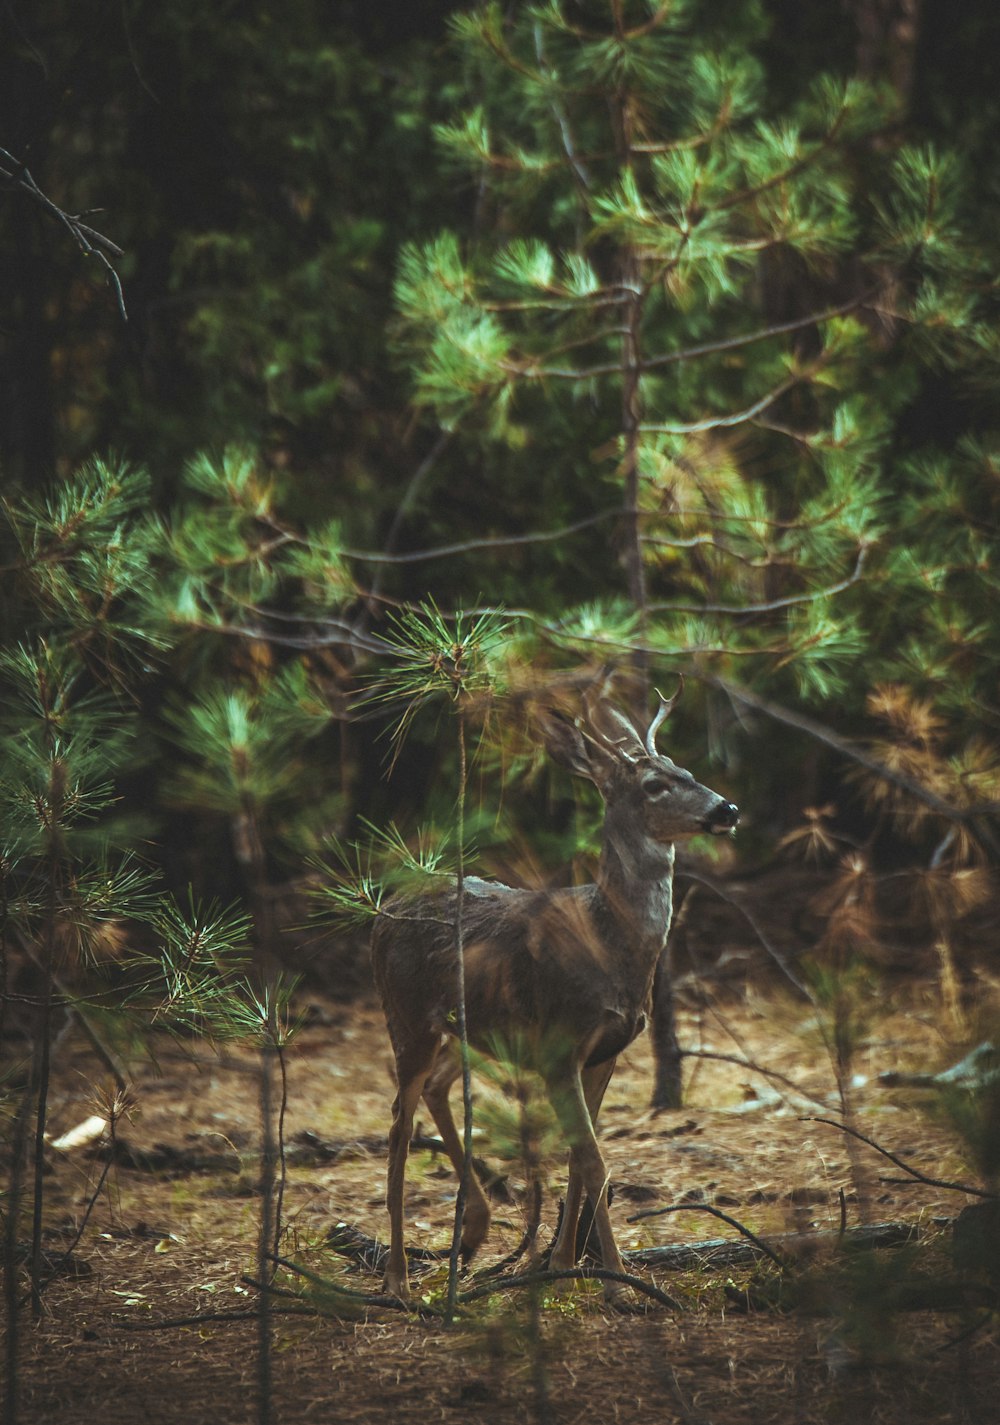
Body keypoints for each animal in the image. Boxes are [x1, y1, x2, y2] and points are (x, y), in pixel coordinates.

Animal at [373, 684, 740, 1305]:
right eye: (654, 785)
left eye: (687, 769)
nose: (726, 809)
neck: (609, 941)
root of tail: (383, 909)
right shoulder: (559, 1044)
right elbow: (595, 1164)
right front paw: (617, 1283)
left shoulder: (604, 1051)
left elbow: (576, 1159)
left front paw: (564, 1266)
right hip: (407, 1016)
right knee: (399, 1126)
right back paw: (399, 1277)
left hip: (463, 1029)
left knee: (438, 1090)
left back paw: (475, 1228)